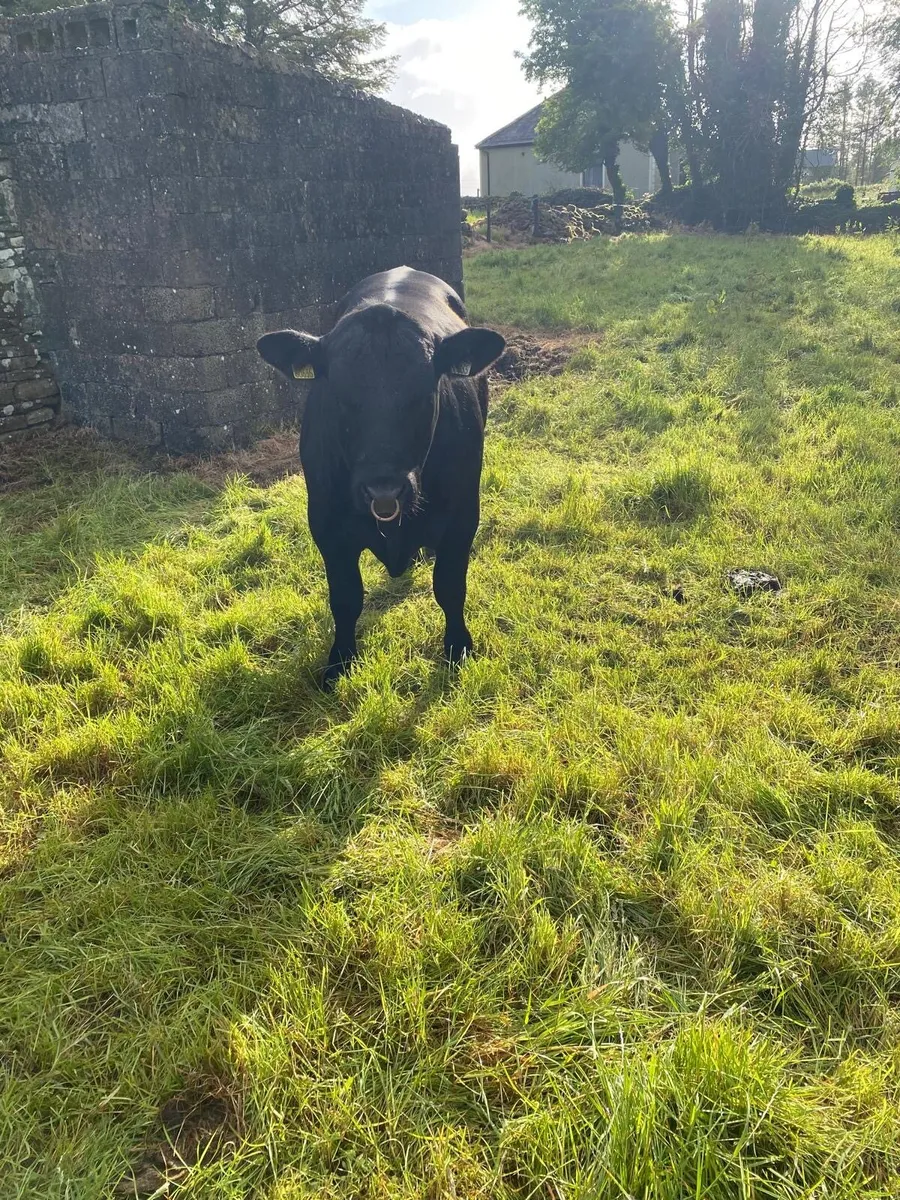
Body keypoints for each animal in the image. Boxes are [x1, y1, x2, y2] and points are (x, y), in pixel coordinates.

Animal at [256, 266, 505, 689]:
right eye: (337, 393)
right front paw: (339, 662)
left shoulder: (463, 518)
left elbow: (450, 588)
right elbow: (345, 597)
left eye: (424, 392)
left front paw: (458, 647)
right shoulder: (325, 525)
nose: (384, 489)